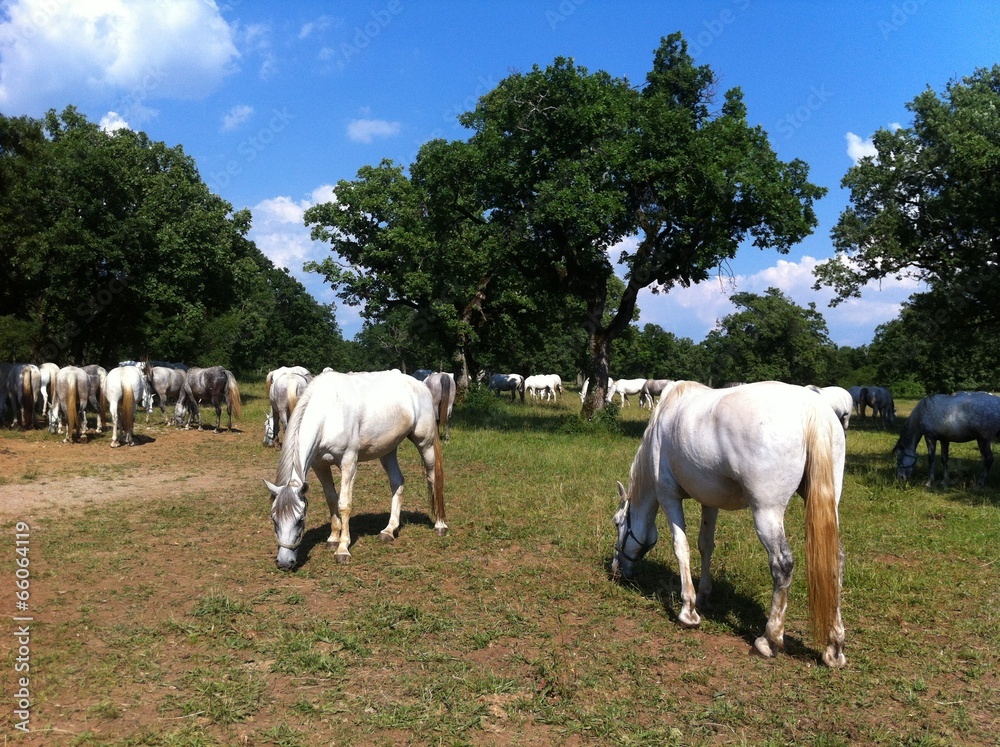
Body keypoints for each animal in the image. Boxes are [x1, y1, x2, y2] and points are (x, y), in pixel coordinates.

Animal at [263, 369, 447, 569]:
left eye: (300, 520)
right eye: (274, 519)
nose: (284, 562)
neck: (328, 413)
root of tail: (421, 385)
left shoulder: (348, 462)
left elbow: (344, 504)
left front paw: (342, 549)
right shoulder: (320, 466)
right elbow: (331, 499)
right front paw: (333, 539)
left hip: (425, 443)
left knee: (433, 478)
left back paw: (440, 525)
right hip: (388, 450)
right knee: (397, 482)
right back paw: (389, 530)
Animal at [612, 380, 847, 668]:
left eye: (618, 523)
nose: (616, 568)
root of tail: (812, 408)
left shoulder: (668, 496)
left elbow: (681, 548)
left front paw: (688, 611)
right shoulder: (709, 500)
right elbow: (705, 545)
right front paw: (704, 595)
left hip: (766, 511)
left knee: (782, 564)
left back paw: (769, 639)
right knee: (834, 560)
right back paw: (834, 647)